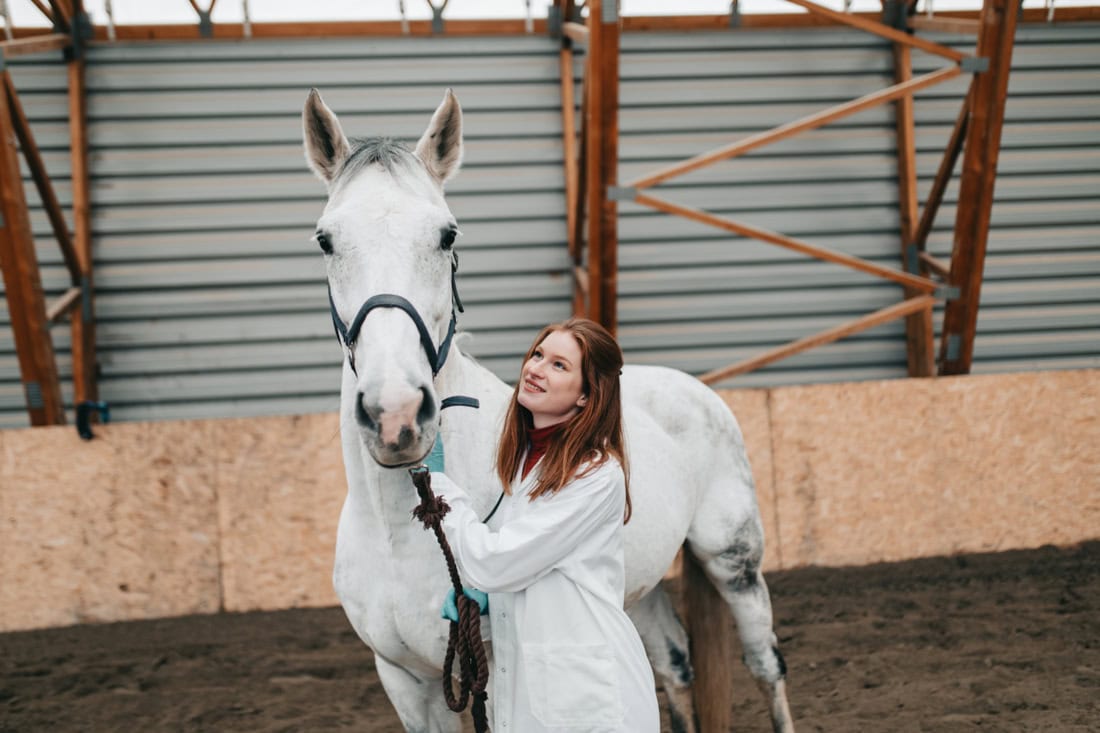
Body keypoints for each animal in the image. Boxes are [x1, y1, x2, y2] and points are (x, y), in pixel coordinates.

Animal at [302, 87, 794, 733]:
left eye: (447, 235)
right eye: (325, 240)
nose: (396, 413)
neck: (397, 534)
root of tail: (696, 389)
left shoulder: (488, 672)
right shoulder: (406, 681)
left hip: (734, 562)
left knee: (766, 666)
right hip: (639, 588)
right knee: (675, 665)